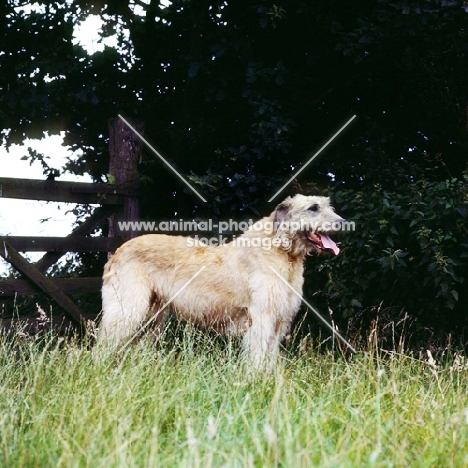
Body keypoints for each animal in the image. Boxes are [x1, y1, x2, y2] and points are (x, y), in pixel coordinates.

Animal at [98, 194, 344, 370]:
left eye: (328, 205)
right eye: (313, 207)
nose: (343, 222)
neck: (282, 250)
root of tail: (117, 252)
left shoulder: (278, 322)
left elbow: (270, 357)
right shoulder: (261, 318)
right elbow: (257, 356)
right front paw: (256, 385)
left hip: (151, 316)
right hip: (128, 307)